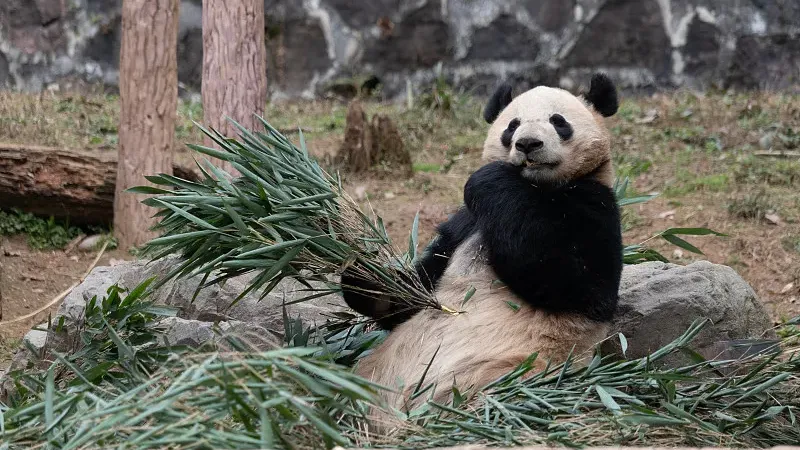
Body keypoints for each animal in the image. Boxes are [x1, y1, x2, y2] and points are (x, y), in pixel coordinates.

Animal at [341, 73, 623, 427]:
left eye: (558, 122)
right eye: (512, 126)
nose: (527, 144)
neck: (534, 186)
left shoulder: (594, 204)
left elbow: (577, 282)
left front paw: (492, 178)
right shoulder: (467, 223)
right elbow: (415, 293)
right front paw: (363, 277)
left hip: (509, 370)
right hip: (372, 371)